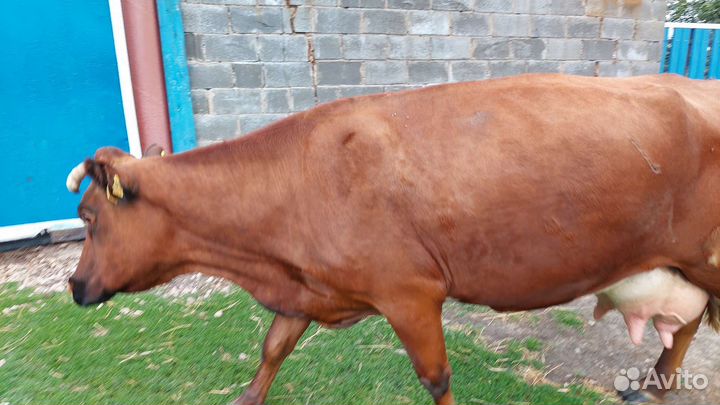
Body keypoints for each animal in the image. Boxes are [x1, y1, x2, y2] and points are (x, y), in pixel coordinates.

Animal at [66, 74, 720, 405]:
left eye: (88, 215)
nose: (74, 285)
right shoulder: (308, 285)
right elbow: (273, 349)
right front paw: (244, 399)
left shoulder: (410, 292)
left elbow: (437, 378)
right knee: (686, 322)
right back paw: (653, 390)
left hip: (706, 256)